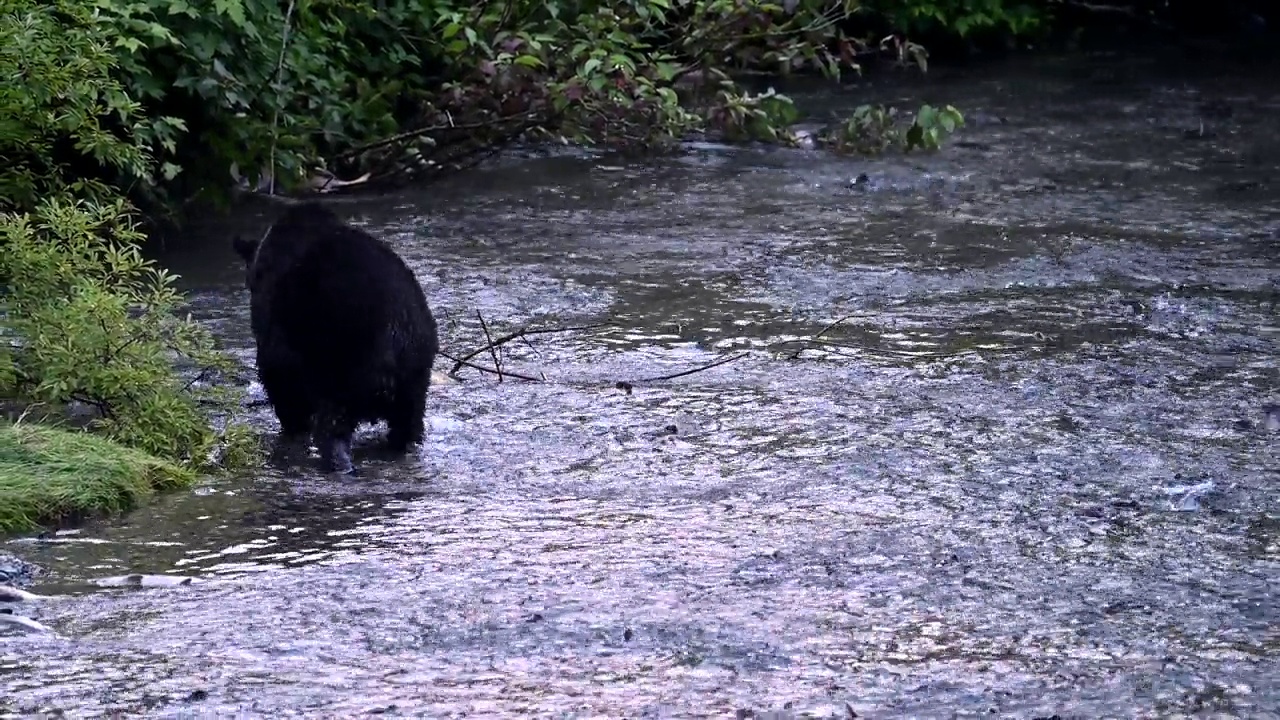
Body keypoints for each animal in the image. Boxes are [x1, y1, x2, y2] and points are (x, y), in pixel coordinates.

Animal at [232, 198, 442, 474]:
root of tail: (395, 339)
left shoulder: (276, 336)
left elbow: (281, 383)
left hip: (340, 367)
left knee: (331, 430)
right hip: (415, 379)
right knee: (409, 425)